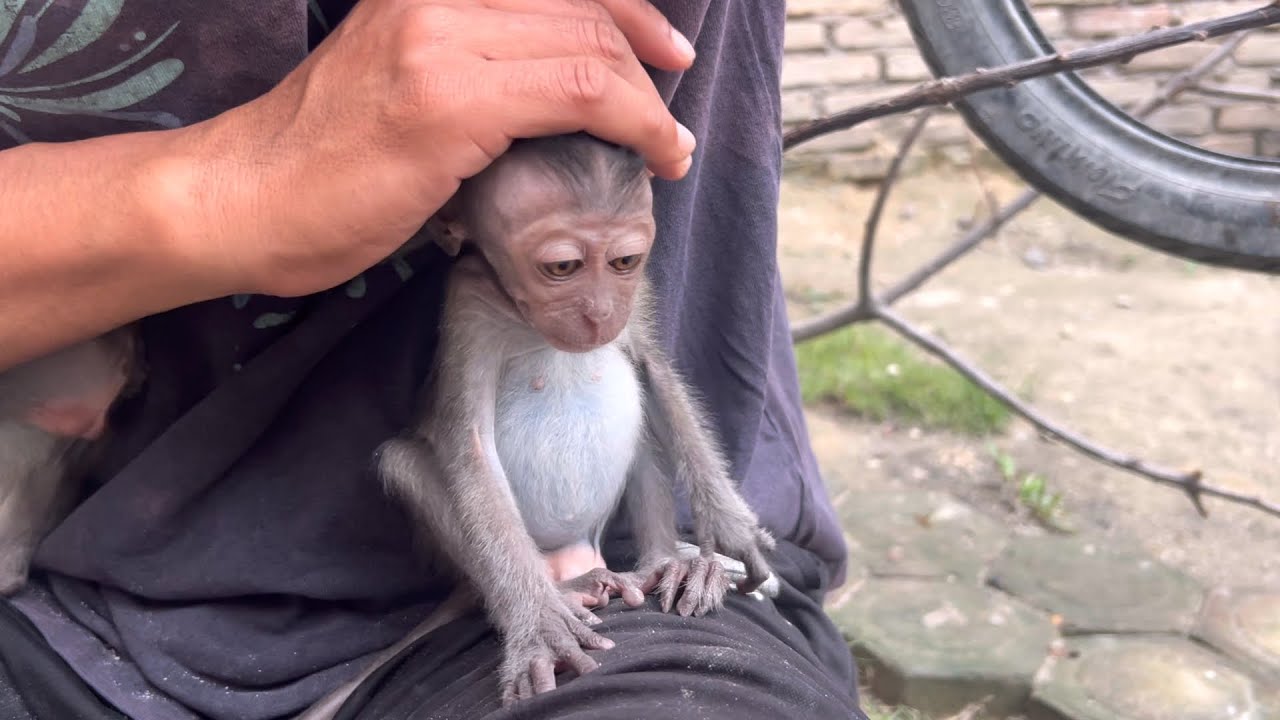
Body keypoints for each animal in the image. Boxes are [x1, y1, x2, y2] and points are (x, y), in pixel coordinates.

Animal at [375, 132, 778, 706]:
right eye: (562, 267)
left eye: (624, 260)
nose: (600, 312)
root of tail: (576, 554)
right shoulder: (468, 302)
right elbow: (469, 446)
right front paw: (538, 623)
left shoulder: (638, 297)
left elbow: (655, 371)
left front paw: (729, 530)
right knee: (404, 462)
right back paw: (564, 588)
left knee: (637, 391)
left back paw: (666, 563)